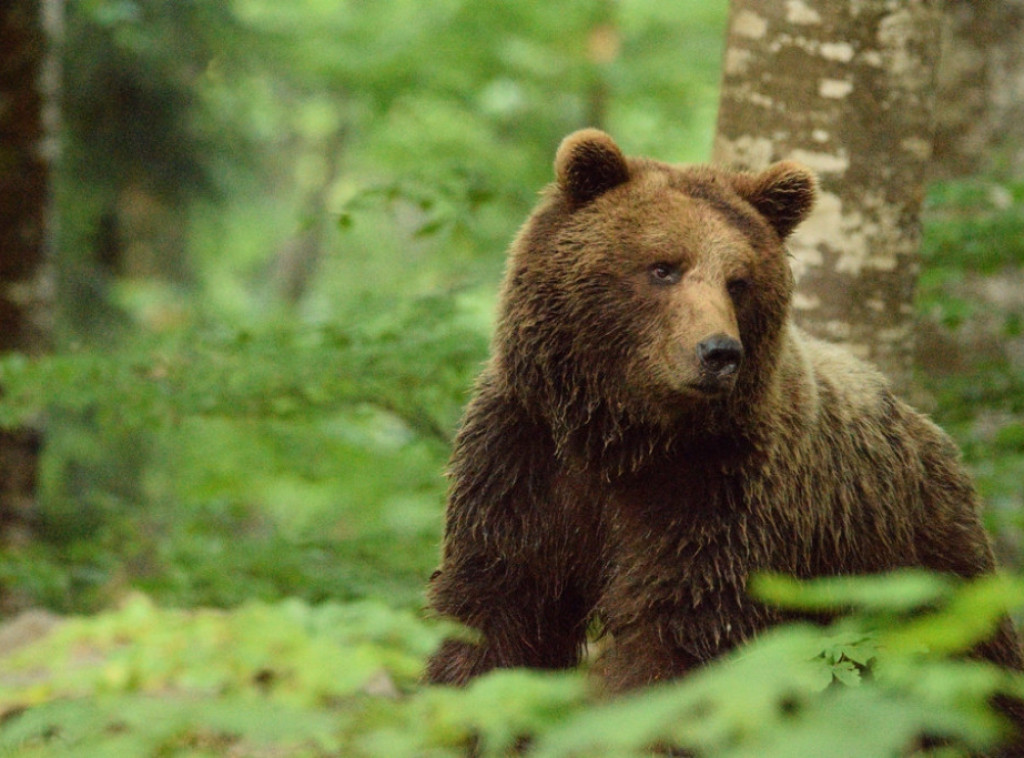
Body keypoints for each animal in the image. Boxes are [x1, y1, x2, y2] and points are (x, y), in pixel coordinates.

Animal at [423, 127, 1024, 741]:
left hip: (918, 568)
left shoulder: (718, 492)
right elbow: (496, 615)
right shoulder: (524, 461)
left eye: (739, 282)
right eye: (663, 266)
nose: (719, 352)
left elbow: (679, 641)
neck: (621, 438)